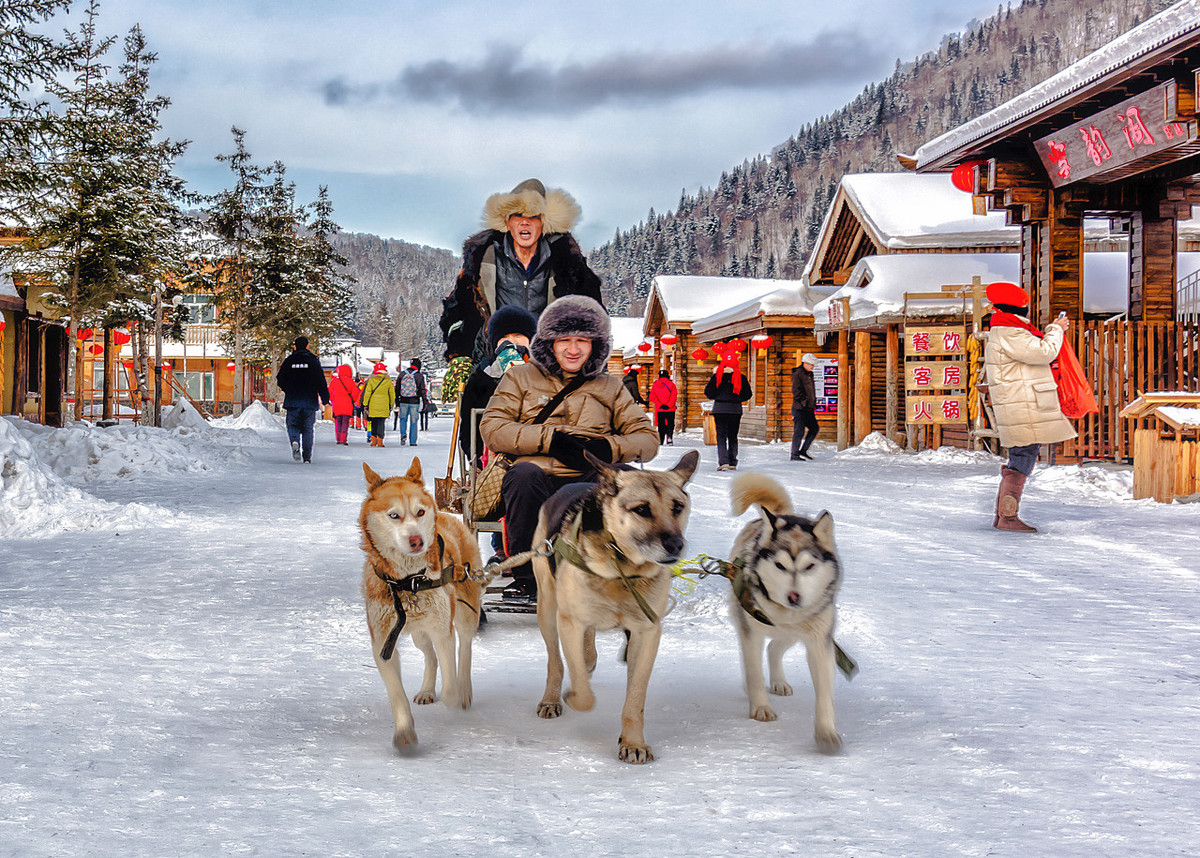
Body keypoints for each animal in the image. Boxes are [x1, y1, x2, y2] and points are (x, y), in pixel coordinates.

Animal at [357, 463, 484, 753]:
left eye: (420, 512)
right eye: (394, 515)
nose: (417, 540)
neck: (409, 582)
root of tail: (448, 516)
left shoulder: (442, 629)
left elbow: (449, 682)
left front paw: (452, 696)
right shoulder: (383, 642)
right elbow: (397, 694)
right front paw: (404, 732)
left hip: (465, 613)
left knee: (465, 648)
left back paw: (465, 689)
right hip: (417, 634)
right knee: (430, 656)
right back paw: (427, 690)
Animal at [530, 448, 700, 763]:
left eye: (677, 507)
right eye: (642, 509)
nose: (675, 544)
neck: (624, 569)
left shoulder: (646, 633)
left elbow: (635, 698)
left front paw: (633, 742)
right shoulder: (570, 621)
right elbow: (580, 687)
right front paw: (575, 696)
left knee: (586, 649)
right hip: (547, 607)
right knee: (556, 660)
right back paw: (552, 696)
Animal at [724, 470, 840, 753]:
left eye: (809, 566)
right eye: (779, 565)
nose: (794, 597)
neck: (784, 612)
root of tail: (785, 514)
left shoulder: (820, 642)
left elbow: (825, 692)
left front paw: (826, 732)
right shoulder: (751, 634)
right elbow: (754, 672)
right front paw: (760, 707)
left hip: (793, 635)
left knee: (774, 648)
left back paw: (778, 681)